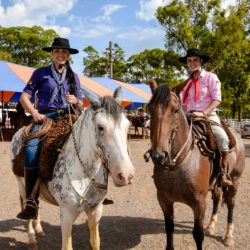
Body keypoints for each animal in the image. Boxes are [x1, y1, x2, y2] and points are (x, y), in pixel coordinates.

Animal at [146, 83, 245, 249]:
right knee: (217, 198)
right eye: (150, 109)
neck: (177, 165)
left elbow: (198, 235)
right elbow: (169, 228)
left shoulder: (199, 204)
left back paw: (228, 236)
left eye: (175, 110)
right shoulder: (164, 200)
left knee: (231, 204)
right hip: (216, 183)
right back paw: (211, 225)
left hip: (235, 181)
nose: (159, 155)